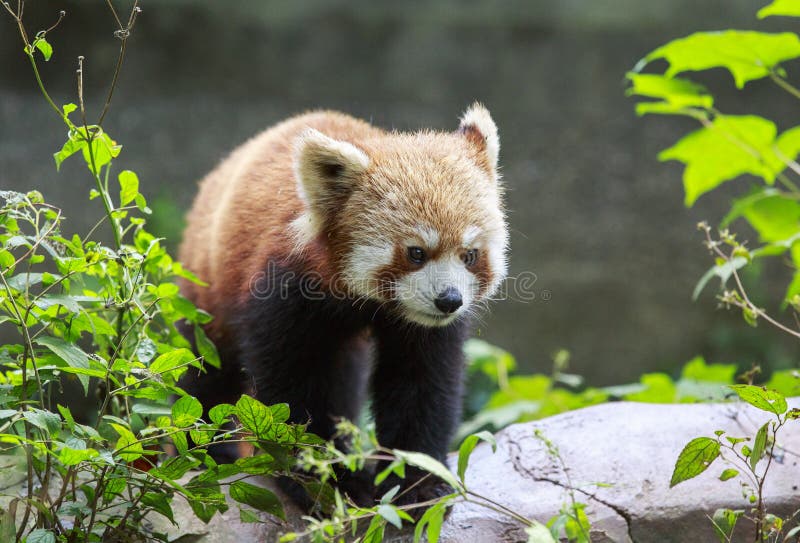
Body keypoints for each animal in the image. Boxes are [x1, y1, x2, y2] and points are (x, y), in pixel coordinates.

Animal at [179, 104, 510, 508]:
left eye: (470, 255)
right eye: (416, 253)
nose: (448, 300)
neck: (362, 301)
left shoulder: (426, 330)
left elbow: (421, 384)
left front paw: (417, 481)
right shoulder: (284, 292)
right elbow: (295, 389)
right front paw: (326, 480)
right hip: (207, 287)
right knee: (208, 372)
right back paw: (208, 452)